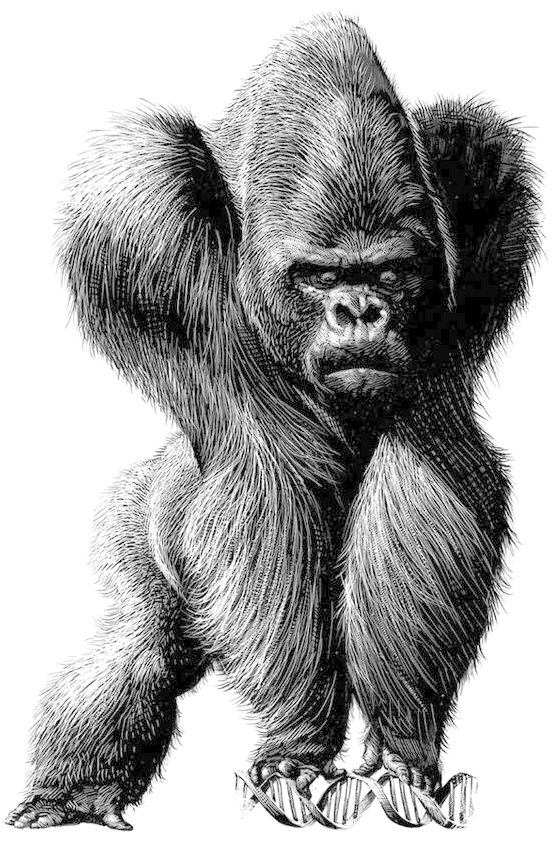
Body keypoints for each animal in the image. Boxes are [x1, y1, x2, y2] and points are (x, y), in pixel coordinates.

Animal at [7, 11, 546, 831]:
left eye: (389, 272)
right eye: (319, 276)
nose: (359, 311)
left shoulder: (487, 179)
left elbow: (428, 467)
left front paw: (404, 746)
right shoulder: (138, 217)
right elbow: (260, 483)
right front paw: (298, 743)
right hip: (137, 523)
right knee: (143, 647)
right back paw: (69, 793)